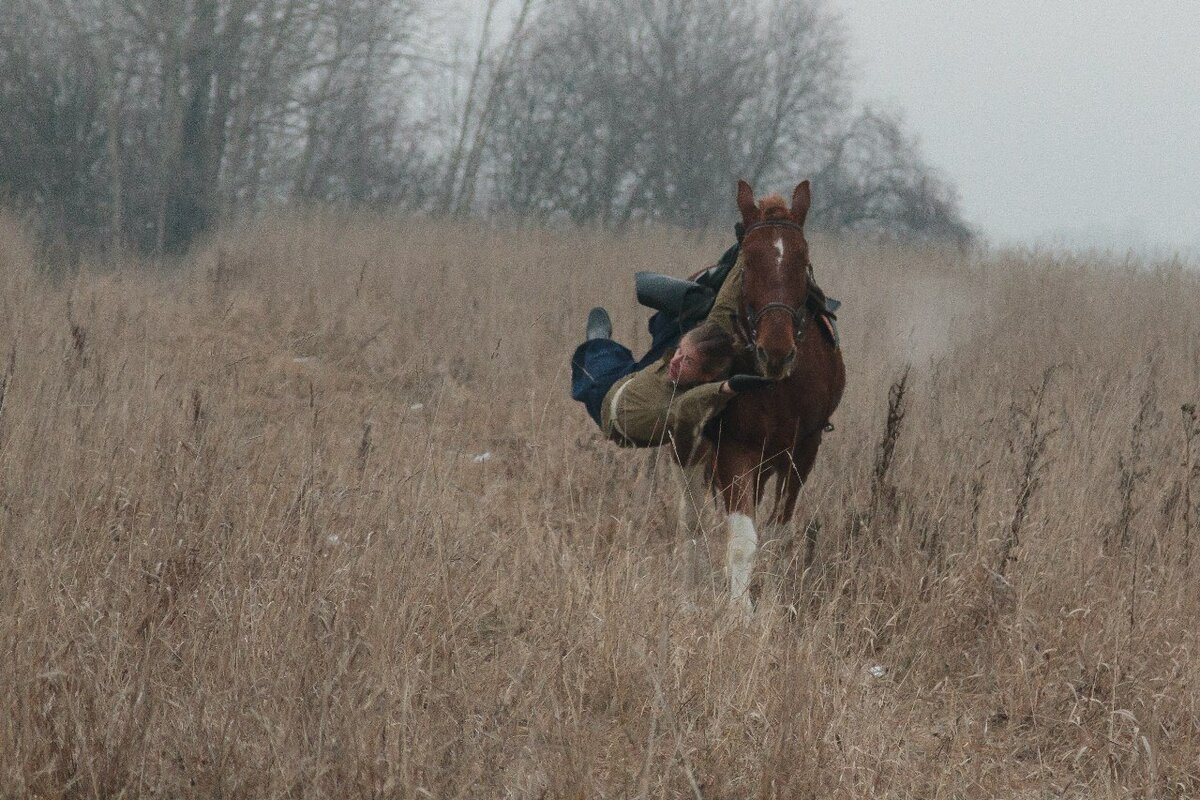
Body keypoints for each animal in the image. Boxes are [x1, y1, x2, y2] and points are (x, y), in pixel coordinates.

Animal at [676, 179, 844, 614]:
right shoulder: (736, 449)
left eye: (803, 261)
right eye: (748, 263)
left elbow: (777, 533)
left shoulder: (803, 450)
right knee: (692, 516)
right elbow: (741, 540)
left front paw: (770, 604)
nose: (777, 350)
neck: (777, 386)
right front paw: (741, 613)